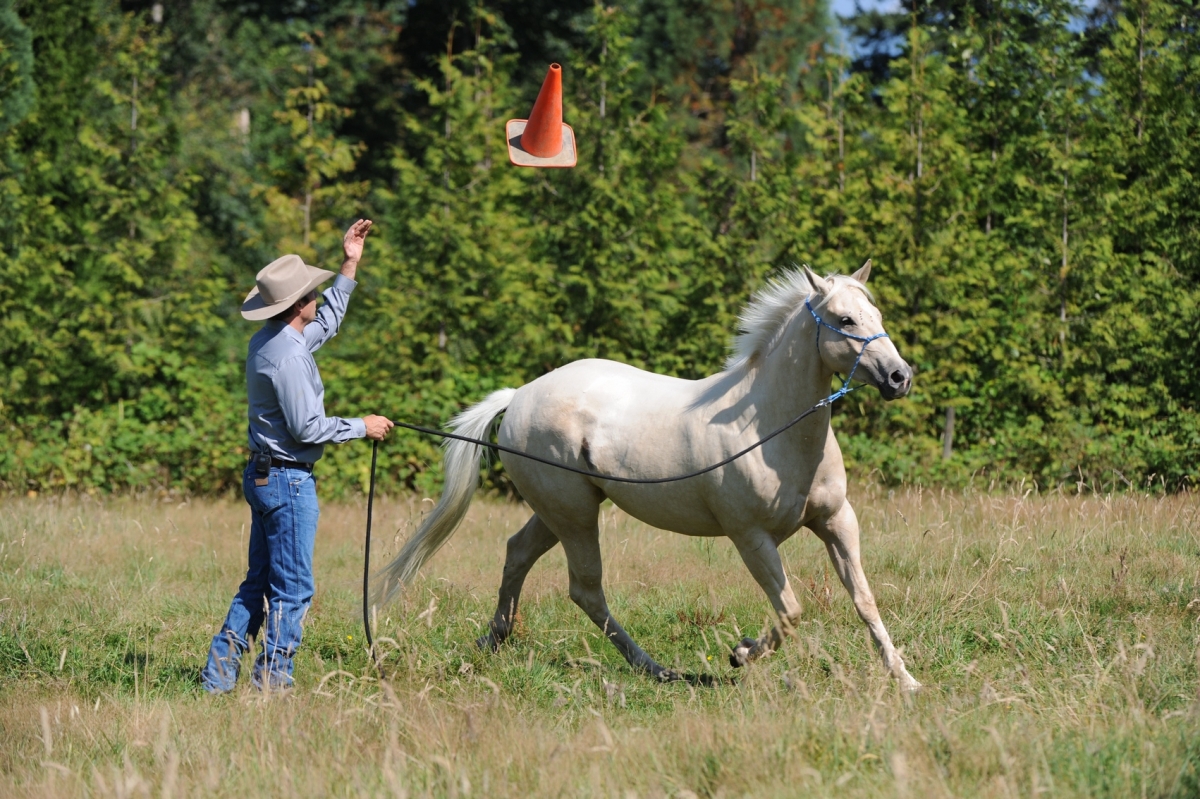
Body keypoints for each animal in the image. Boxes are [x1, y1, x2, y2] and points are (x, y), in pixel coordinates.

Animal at [376, 262, 921, 690]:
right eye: (845, 319)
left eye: (877, 316)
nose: (900, 377)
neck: (769, 427)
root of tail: (519, 396)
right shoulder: (751, 537)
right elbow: (789, 611)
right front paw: (740, 653)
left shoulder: (837, 522)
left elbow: (864, 600)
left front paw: (906, 679)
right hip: (574, 515)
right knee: (586, 590)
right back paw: (654, 668)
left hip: (558, 512)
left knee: (517, 554)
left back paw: (494, 641)